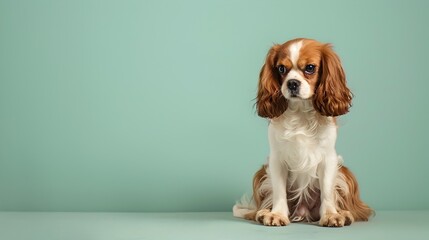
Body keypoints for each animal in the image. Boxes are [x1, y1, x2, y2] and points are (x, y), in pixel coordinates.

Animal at [232, 38, 370, 227]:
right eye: (281, 69)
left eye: (310, 68)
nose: (292, 83)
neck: (300, 111)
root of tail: (304, 212)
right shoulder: (276, 160)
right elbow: (279, 191)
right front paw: (277, 214)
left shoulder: (328, 159)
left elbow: (327, 191)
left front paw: (330, 215)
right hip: (262, 173)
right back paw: (263, 212)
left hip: (344, 172)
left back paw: (343, 213)